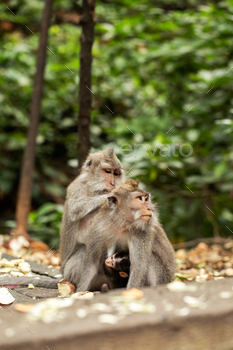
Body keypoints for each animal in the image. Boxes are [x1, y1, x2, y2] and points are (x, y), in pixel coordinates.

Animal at [60, 148, 125, 288]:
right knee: (84, 250)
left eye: (116, 173)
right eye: (108, 171)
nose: (113, 183)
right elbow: (75, 209)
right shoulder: (76, 187)